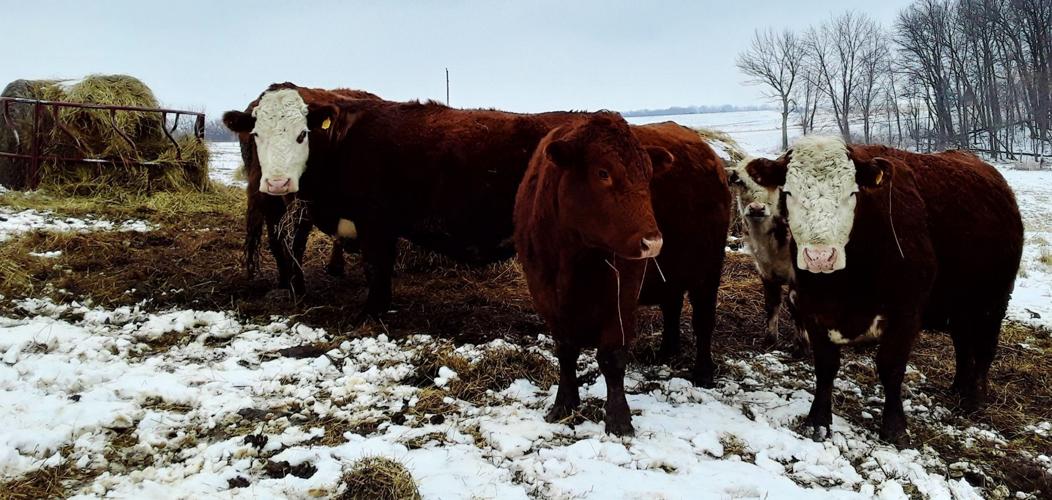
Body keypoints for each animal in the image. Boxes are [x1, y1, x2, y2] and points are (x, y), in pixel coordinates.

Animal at [514, 112, 669, 436]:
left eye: (648, 174)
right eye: (603, 173)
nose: (652, 242)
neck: (577, 255)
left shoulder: (622, 295)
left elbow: (612, 357)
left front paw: (619, 419)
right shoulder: (544, 293)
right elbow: (566, 350)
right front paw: (564, 404)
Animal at [742, 135, 1023, 446]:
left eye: (852, 193)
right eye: (789, 192)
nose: (820, 257)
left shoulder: (906, 312)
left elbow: (891, 367)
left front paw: (894, 427)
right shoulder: (812, 307)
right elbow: (825, 366)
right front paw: (818, 422)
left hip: (994, 301)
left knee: (985, 347)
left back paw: (975, 398)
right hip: (960, 303)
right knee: (962, 343)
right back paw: (958, 388)